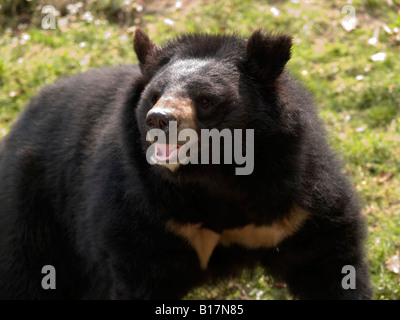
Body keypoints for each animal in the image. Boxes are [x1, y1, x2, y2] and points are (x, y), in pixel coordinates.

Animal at [0, 28, 372, 300]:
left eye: (205, 100)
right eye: (154, 96)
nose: (158, 119)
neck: (214, 176)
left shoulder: (295, 201)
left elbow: (327, 261)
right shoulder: (139, 212)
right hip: (32, 206)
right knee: (26, 273)